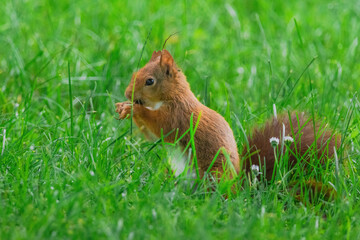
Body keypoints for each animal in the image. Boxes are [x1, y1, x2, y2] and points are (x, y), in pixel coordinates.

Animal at [116, 49, 340, 186]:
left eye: (150, 81)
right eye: (135, 74)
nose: (127, 93)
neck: (173, 95)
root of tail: (239, 187)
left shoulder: (178, 115)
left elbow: (161, 126)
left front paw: (135, 109)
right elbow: (152, 136)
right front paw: (124, 108)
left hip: (214, 173)